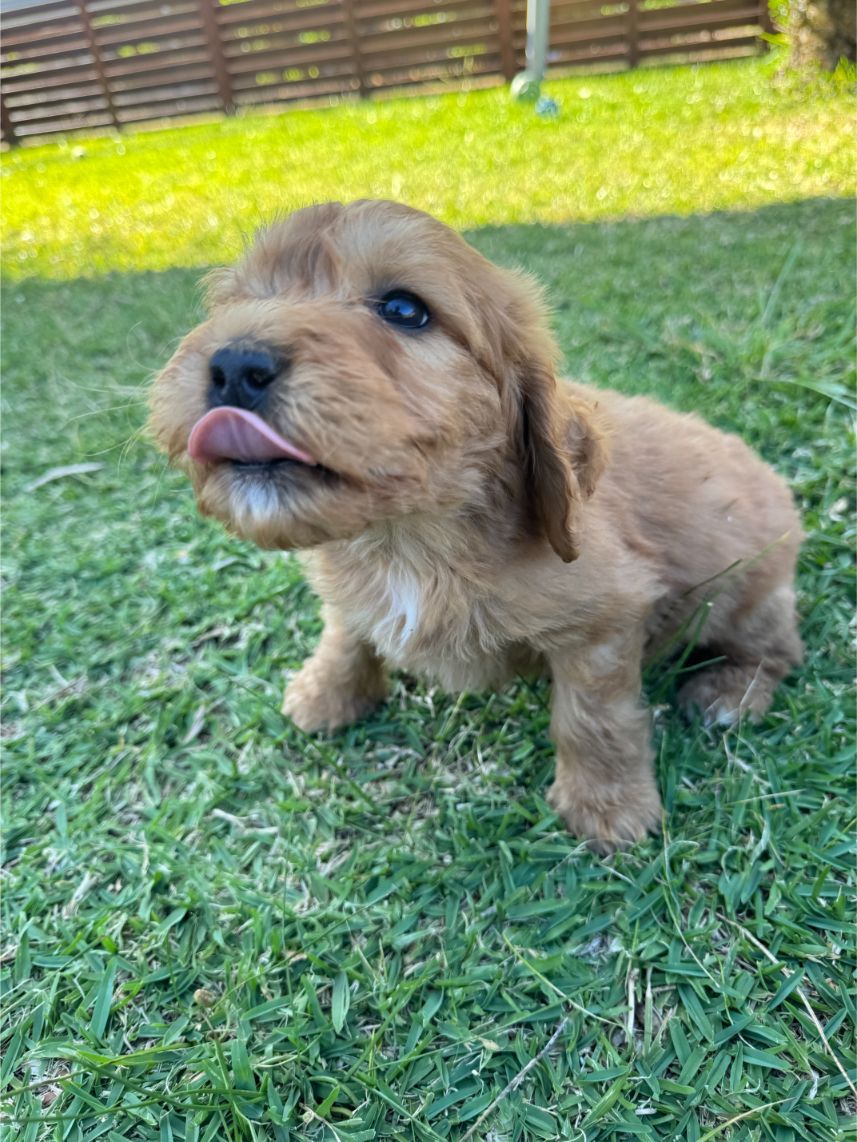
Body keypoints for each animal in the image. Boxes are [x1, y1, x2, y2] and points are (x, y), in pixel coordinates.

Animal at [149, 199, 803, 850]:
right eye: (237, 302)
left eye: (404, 309)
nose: (234, 364)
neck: (405, 539)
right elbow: (345, 631)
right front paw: (325, 694)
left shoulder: (605, 622)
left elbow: (594, 718)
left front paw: (608, 809)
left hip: (744, 595)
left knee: (779, 650)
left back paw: (729, 694)